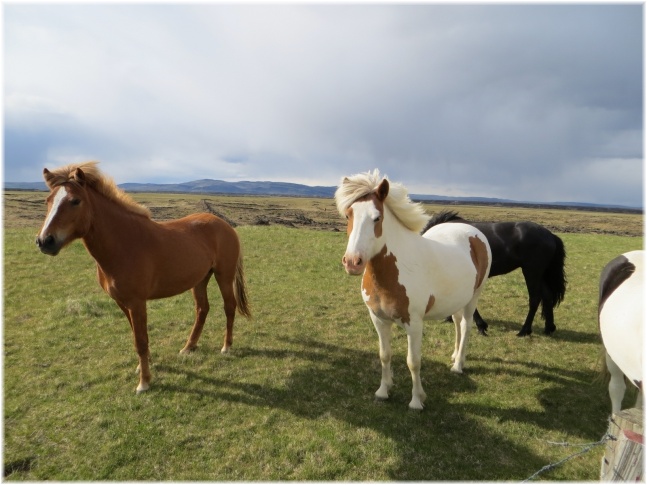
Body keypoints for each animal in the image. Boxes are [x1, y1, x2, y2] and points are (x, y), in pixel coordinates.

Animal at [36, 163, 251, 394]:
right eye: (48, 200)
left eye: (75, 201)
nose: (45, 241)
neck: (124, 244)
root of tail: (225, 225)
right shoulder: (122, 303)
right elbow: (136, 337)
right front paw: (142, 368)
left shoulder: (137, 303)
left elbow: (141, 341)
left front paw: (144, 382)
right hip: (200, 279)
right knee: (202, 309)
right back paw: (188, 347)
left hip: (224, 276)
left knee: (229, 306)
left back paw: (226, 346)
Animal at [336, 170, 494, 408]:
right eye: (348, 215)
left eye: (377, 218)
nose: (353, 262)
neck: (396, 269)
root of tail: (473, 231)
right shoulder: (379, 320)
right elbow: (384, 355)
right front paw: (383, 391)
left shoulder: (414, 324)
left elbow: (413, 362)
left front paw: (417, 401)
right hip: (456, 299)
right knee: (458, 323)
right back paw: (455, 356)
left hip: (474, 296)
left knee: (466, 325)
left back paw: (458, 365)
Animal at [420, 212, 568, 336]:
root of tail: (550, 235)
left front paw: (481, 326)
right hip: (539, 274)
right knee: (547, 296)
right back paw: (549, 328)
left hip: (532, 272)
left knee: (535, 299)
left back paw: (524, 330)